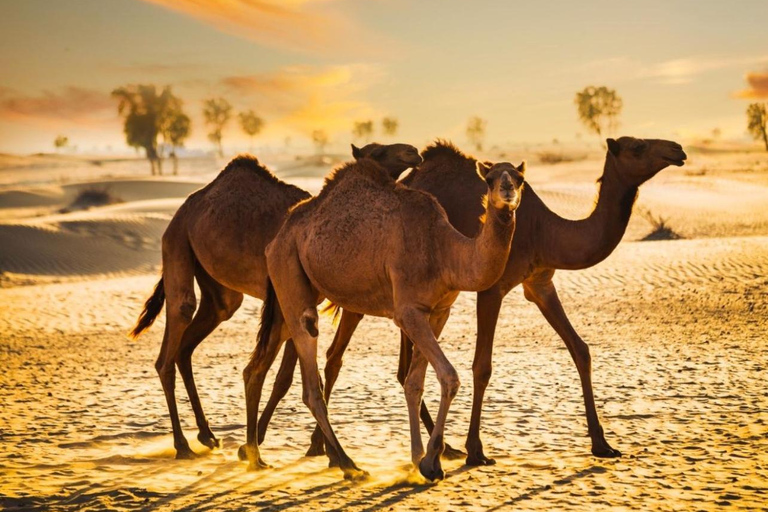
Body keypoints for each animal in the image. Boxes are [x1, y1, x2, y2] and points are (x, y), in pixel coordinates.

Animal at [128, 143, 422, 459]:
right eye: (376, 151)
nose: (412, 151)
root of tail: (183, 210)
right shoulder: (287, 298)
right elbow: (283, 376)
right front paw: (263, 443)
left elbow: (284, 378)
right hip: (177, 242)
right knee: (172, 337)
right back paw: (182, 444)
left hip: (217, 289)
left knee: (196, 335)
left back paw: (207, 434)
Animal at [241, 156, 526, 481]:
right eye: (489, 179)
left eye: (519, 179)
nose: (507, 190)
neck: (444, 251)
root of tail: (278, 236)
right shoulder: (408, 311)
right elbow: (449, 377)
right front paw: (432, 462)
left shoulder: (439, 312)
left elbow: (414, 383)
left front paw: (418, 458)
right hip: (288, 268)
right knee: (309, 375)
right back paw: (348, 464)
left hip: (292, 287)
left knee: (257, 365)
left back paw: (254, 456)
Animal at [260, 136, 687, 466]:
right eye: (637, 145)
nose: (677, 149)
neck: (546, 230)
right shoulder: (492, 289)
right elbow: (482, 366)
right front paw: (475, 449)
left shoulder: (540, 282)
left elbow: (580, 349)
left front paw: (602, 443)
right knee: (332, 355)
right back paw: (324, 449)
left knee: (375, 363)